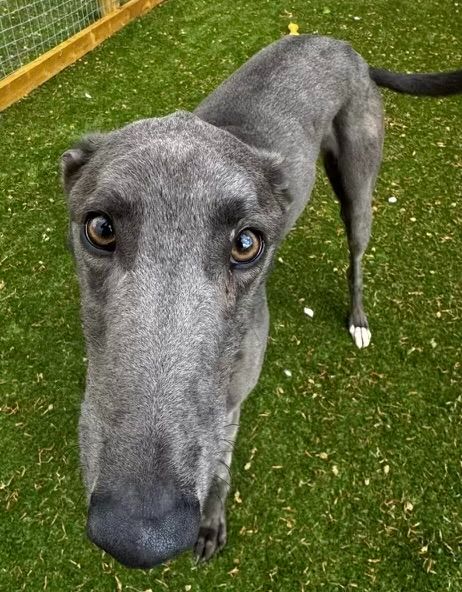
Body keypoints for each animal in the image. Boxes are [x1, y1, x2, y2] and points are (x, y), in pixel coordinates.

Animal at [61, 34, 462, 568]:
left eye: (246, 243)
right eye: (100, 228)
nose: (138, 532)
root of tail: (344, 47)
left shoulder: (230, 402)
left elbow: (221, 463)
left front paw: (212, 523)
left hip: (359, 186)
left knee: (357, 253)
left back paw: (357, 317)